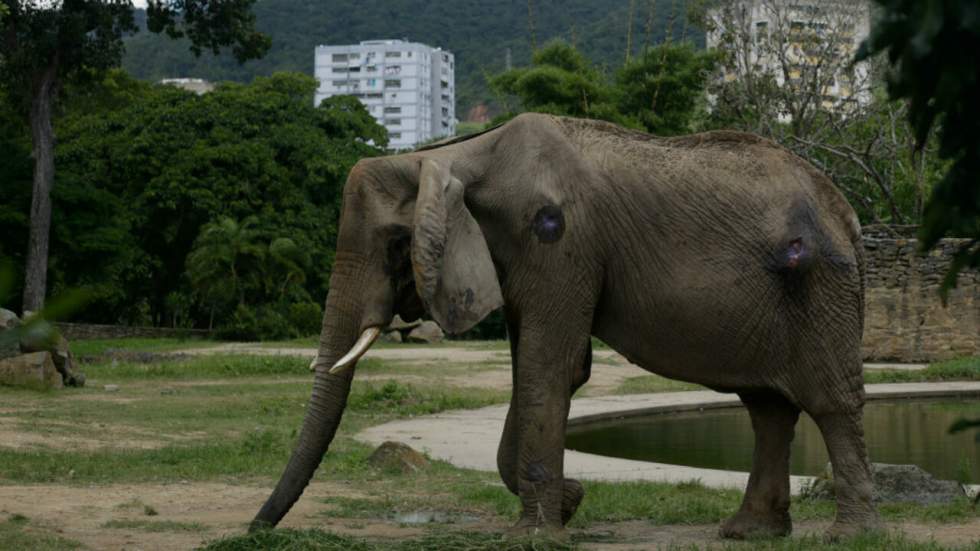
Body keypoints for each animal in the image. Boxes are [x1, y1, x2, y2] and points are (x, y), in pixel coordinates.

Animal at [251, 113, 880, 544]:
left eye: (393, 245)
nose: (256, 531)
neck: (458, 154)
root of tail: (847, 212)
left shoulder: (558, 240)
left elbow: (548, 365)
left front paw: (536, 534)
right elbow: (543, 366)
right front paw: (570, 505)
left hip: (821, 286)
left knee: (829, 400)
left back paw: (847, 536)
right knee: (766, 406)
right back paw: (747, 533)